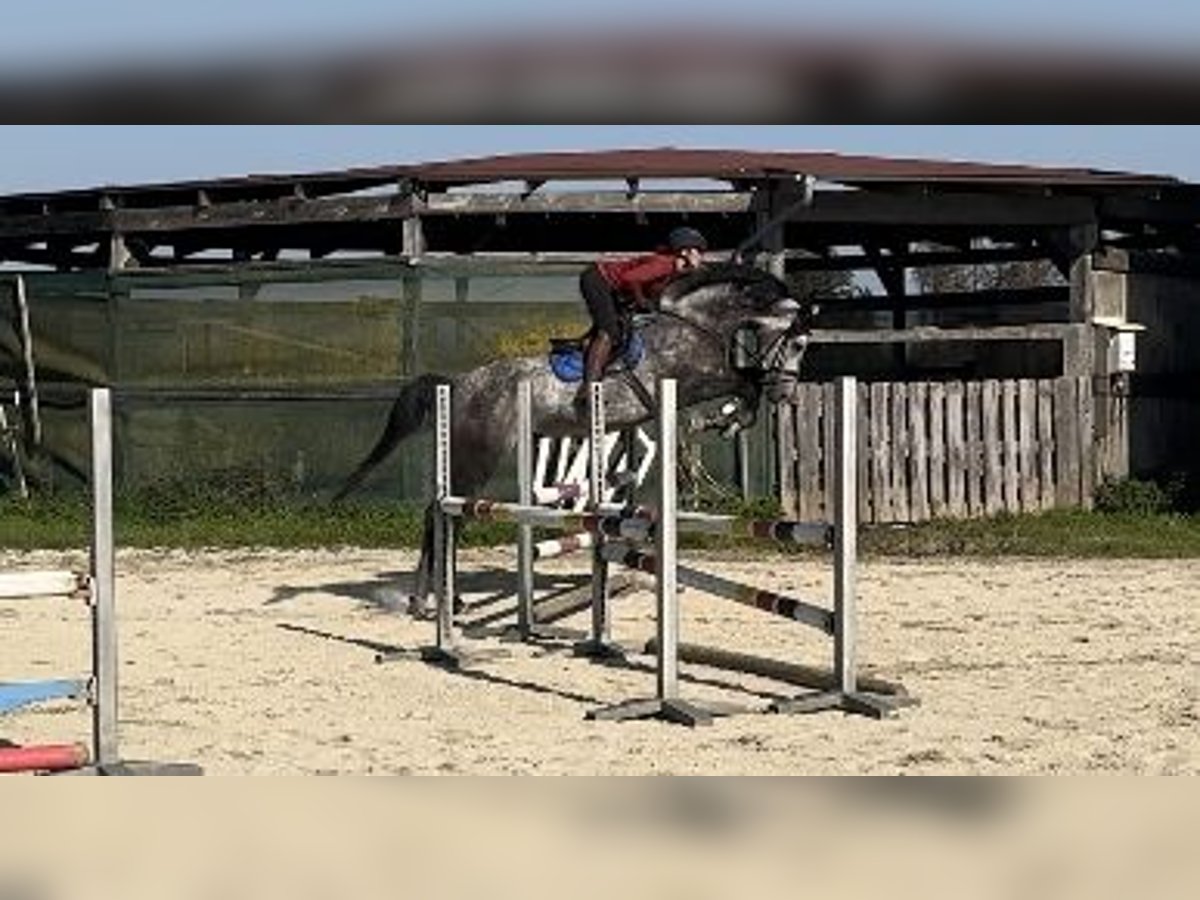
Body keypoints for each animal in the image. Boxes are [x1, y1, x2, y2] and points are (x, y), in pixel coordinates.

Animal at [333, 264, 811, 619]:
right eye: (798, 343)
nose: (787, 394)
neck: (696, 322)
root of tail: (460, 384)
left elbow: (745, 379)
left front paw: (727, 419)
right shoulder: (694, 378)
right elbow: (745, 380)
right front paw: (729, 419)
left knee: (442, 517)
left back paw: (433, 599)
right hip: (477, 459)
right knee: (444, 517)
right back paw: (435, 601)